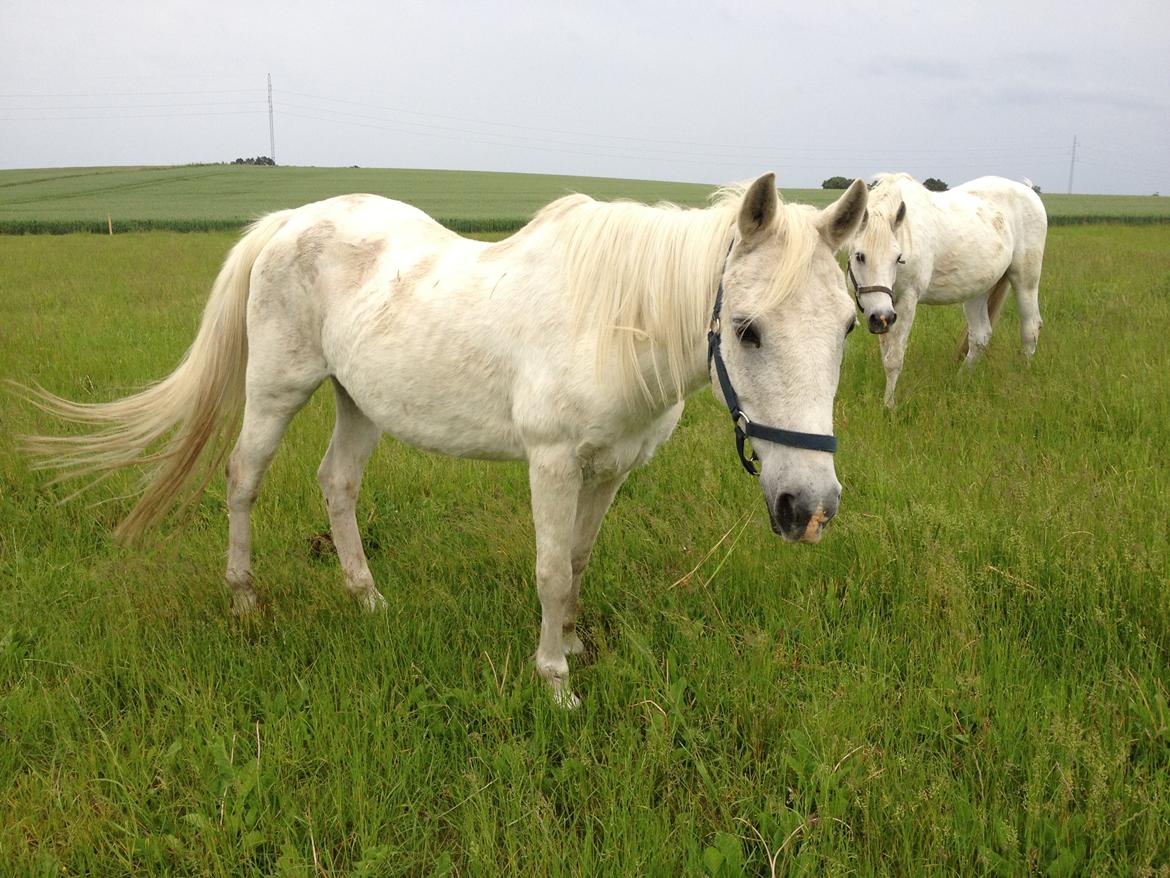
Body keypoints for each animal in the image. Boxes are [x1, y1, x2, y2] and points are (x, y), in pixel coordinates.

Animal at [20, 173, 870, 707]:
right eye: (747, 329)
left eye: (848, 327)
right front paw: (555, 681)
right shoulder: (553, 463)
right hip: (276, 390)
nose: (810, 509)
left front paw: (573, 647)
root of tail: (289, 222)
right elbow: (550, 571)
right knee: (243, 479)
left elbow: (578, 562)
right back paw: (244, 600)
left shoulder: (611, 470)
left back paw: (367, 600)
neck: (614, 316)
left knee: (337, 484)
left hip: (360, 401)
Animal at [847, 173, 1048, 407]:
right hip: (978, 290)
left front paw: (888, 406)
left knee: (1030, 329)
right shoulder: (886, 306)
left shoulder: (906, 300)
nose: (880, 318)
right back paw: (960, 381)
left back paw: (1021, 376)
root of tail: (1029, 191)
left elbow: (894, 359)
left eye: (898, 258)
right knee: (980, 336)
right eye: (860, 256)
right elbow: (886, 352)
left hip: (1025, 280)